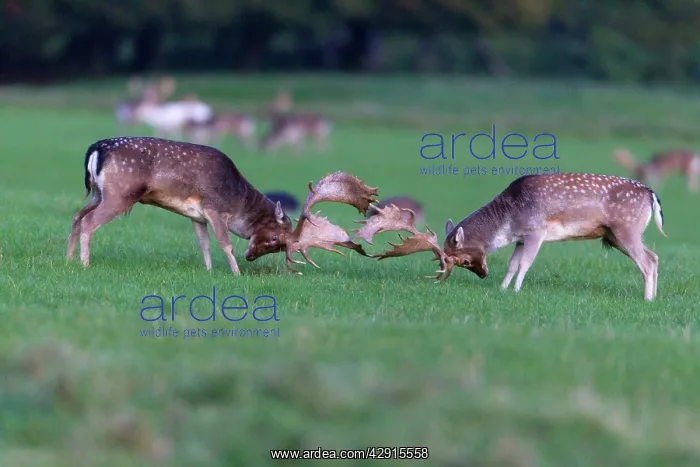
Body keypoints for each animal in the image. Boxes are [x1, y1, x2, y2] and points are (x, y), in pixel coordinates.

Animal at [66, 137, 377, 274]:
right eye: (274, 240)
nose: (250, 257)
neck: (236, 198)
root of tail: (95, 149)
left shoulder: (196, 216)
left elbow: (203, 243)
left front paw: (209, 270)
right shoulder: (214, 209)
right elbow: (224, 243)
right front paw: (235, 272)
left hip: (98, 193)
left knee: (76, 216)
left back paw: (68, 259)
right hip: (120, 193)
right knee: (89, 221)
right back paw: (84, 263)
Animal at [353, 173, 666, 301]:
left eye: (462, 259)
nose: (482, 274)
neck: (509, 219)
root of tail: (651, 194)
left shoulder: (536, 230)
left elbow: (525, 264)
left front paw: (515, 290)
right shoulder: (520, 237)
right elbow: (513, 263)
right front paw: (503, 288)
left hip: (626, 228)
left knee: (648, 260)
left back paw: (648, 299)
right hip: (614, 235)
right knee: (653, 257)